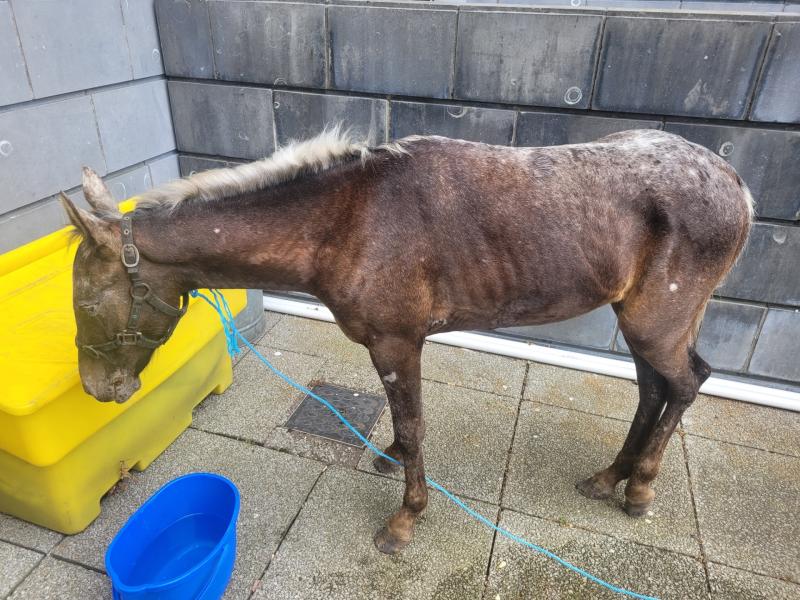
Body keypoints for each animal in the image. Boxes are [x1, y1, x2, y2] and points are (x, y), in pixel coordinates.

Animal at [62, 128, 752, 554]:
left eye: (88, 303)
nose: (97, 389)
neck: (346, 219)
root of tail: (734, 182)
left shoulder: (398, 342)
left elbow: (416, 425)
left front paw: (403, 520)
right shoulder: (388, 346)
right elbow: (401, 425)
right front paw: (389, 457)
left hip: (655, 321)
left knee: (684, 382)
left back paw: (640, 487)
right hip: (642, 319)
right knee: (652, 389)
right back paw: (611, 476)